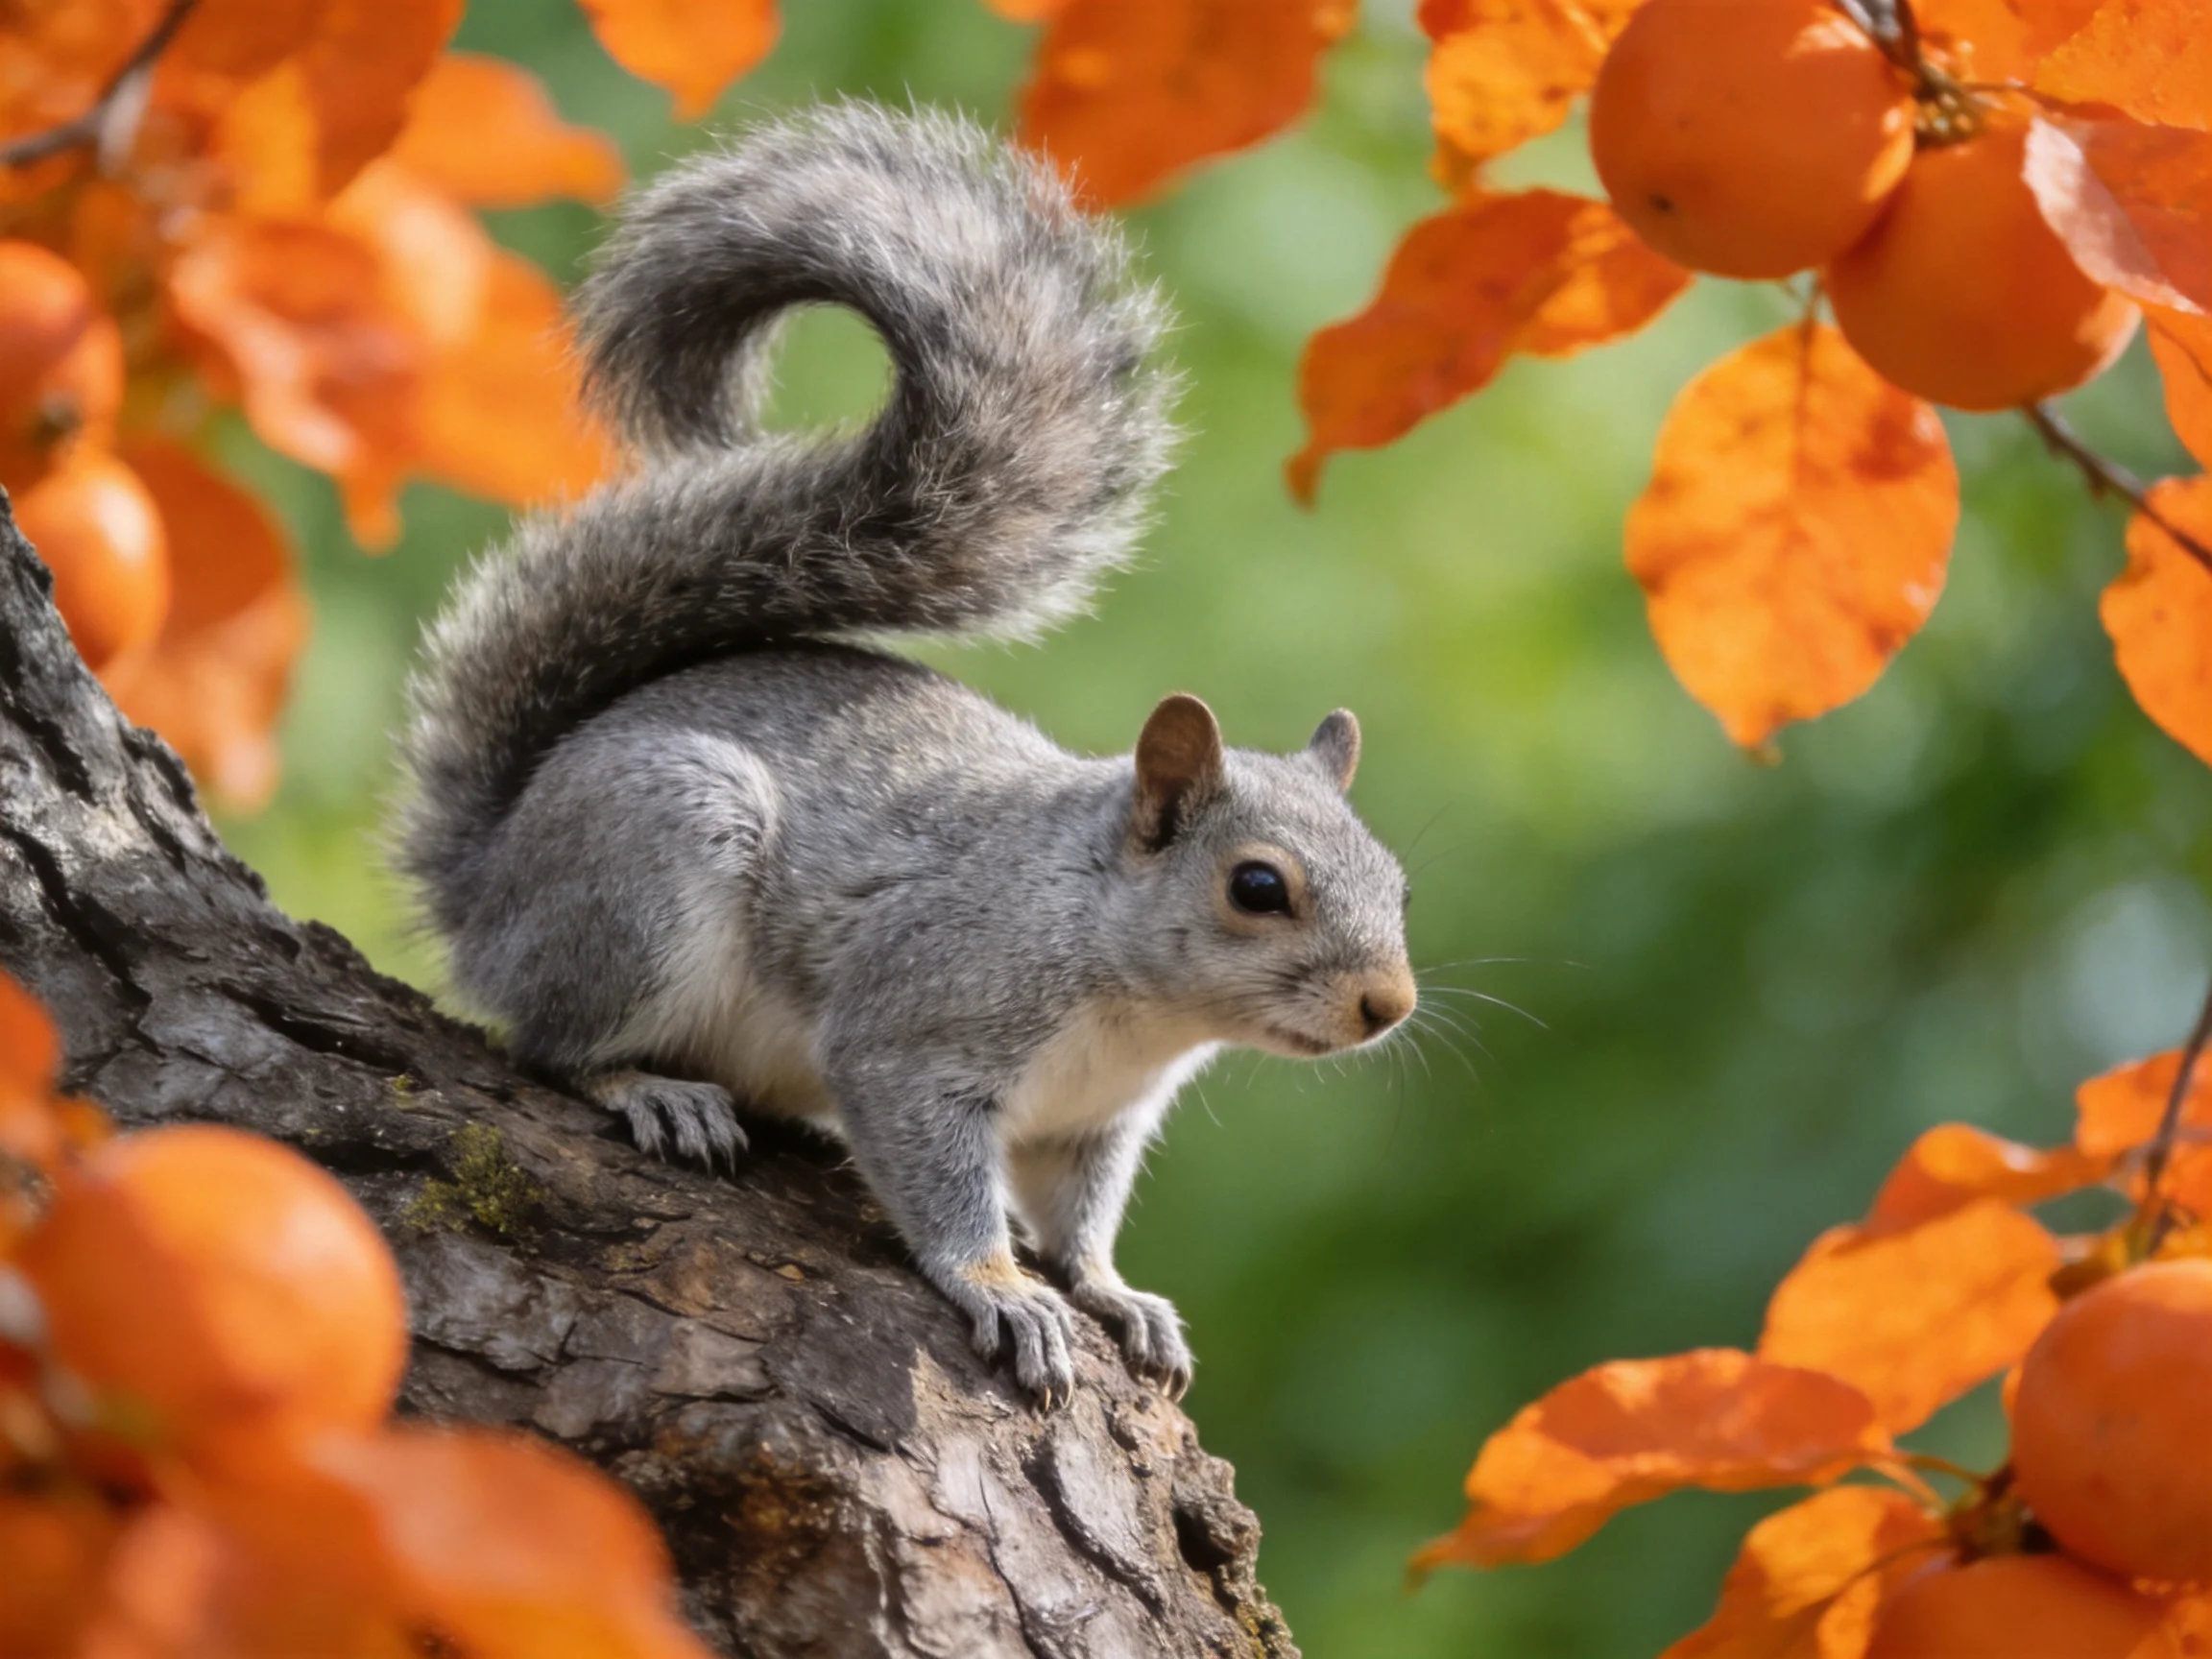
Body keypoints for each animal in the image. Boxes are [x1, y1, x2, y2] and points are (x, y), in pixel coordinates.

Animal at [394, 104, 1416, 1405]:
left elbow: (1084, 1219)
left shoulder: (1094, 1126)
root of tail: (489, 881)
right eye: (1257, 887)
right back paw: (653, 1088)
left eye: (1398, 883)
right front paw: (1000, 1288)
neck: (1127, 993)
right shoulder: (919, 1028)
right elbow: (936, 1174)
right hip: (649, 862)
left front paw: (1112, 1291)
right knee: (552, 1041)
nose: (1389, 1004)